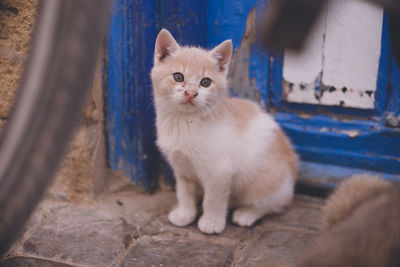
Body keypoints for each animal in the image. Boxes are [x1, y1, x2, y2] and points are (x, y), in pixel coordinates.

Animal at [152, 28, 298, 234]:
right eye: (178, 77)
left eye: (205, 82)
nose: (191, 93)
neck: (184, 121)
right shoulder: (182, 168)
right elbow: (184, 192)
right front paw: (185, 214)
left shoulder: (219, 171)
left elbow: (213, 199)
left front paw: (212, 222)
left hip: (266, 181)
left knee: (272, 203)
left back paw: (246, 214)